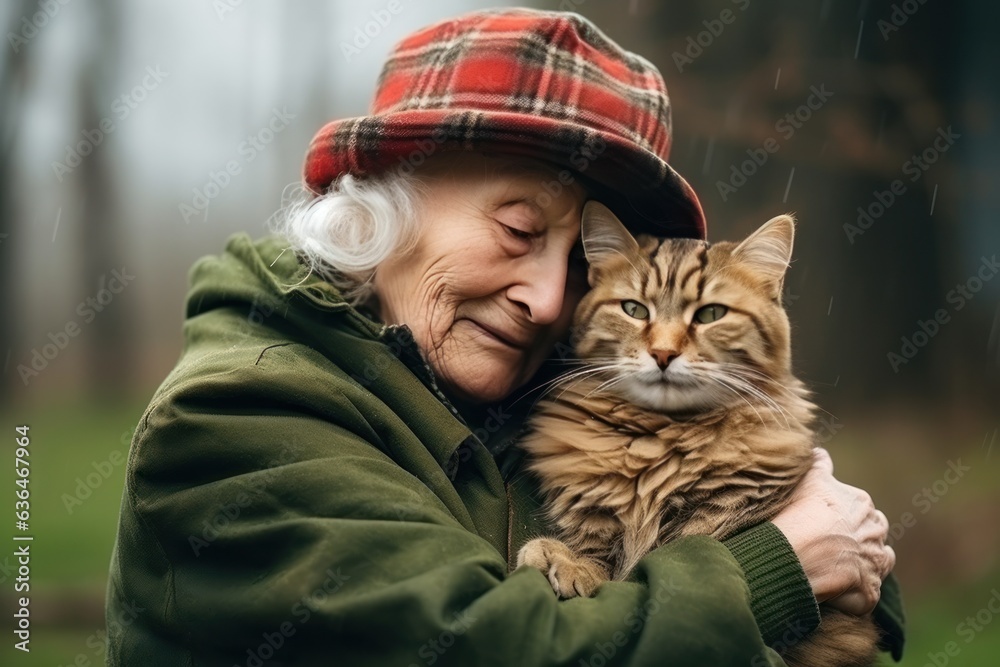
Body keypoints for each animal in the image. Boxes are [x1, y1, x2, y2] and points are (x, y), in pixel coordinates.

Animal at [516, 204, 876, 667]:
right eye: (634, 309)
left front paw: (566, 565)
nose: (663, 353)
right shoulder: (596, 515)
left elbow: (648, 568)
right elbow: (599, 549)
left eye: (710, 315)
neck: (659, 441)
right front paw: (564, 560)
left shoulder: (718, 519)